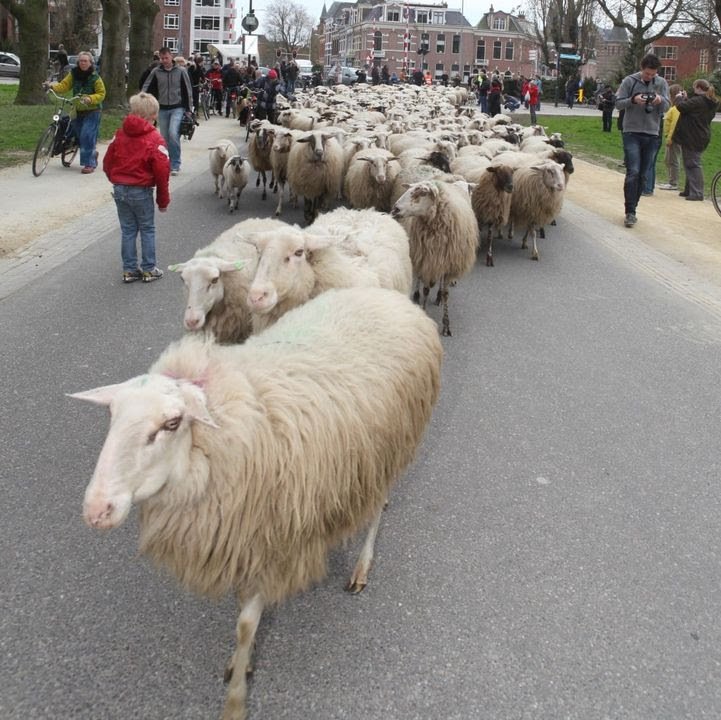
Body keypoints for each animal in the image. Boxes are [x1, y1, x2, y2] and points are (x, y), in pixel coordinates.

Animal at [70, 284, 442, 720]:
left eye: (172, 423)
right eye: (112, 415)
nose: (97, 510)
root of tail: (384, 295)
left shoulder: (271, 540)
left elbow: (246, 625)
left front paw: (235, 700)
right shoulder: (239, 540)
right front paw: (239, 666)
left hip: (390, 450)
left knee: (377, 509)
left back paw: (361, 567)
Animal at [388, 180, 478, 338]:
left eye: (423, 192)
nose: (395, 209)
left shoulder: (448, 265)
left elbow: (446, 294)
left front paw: (446, 324)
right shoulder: (427, 260)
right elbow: (425, 289)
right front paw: (423, 310)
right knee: (420, 278)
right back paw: (417, 294)